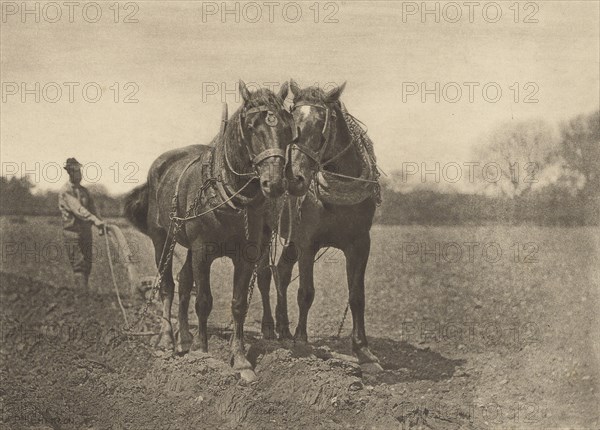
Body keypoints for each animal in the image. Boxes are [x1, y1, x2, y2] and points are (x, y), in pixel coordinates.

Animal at [125, 80, 298, 380]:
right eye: (251, 125)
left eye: (288, 128)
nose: (274, 183)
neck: (229, 195)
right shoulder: (202, 251)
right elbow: (204, 300)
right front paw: (202, 352)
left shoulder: (246, 254)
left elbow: (238, 303)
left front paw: (240, 360)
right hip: (163, 239)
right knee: (168, 286)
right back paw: (167, 339)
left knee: (183, 282)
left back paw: (183, 338)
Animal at [255, 82, 382, 372]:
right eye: (291, 128)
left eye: (320, 128)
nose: (293, 179)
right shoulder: (307, 244)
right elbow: (306, 293)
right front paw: (302, 341)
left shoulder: (360, 244)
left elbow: (357, 296)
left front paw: (364, 351)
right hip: (265, 233)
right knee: (265, 275)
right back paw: (269, 328)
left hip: (290, 240)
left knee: (281, 271)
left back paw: (283, 328)